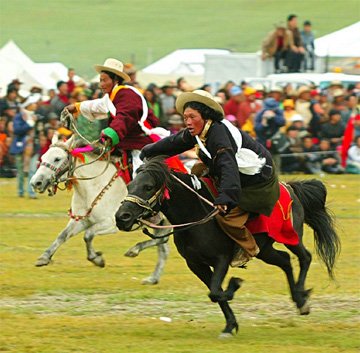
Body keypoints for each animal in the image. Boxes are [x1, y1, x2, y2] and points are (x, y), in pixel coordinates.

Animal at [28, 133, 169, 284]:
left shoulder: (111, 223)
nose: (36, 183)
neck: (95, 185)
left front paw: (97, 259)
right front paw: (44, 257)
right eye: (43, 157)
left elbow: (88, 235)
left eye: (57, 159)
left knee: (162, 242)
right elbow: (63, 235)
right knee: (163, 246)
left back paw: (136, 251)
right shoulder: (82, 221)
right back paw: (152, 277)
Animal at [116, 157, 340, 336]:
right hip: (264, 249)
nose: (121, 217)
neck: (195, 214)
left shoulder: (221, 258)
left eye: (148, 187)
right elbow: (216, 294)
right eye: (130, 186)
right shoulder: (196, 264)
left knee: (305, 257)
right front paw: (230, 325)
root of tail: (290, 187)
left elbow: (216, 291)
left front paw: (236, 284)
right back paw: (298, 298)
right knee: (285, 261)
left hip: (291, 235)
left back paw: (302, 300)